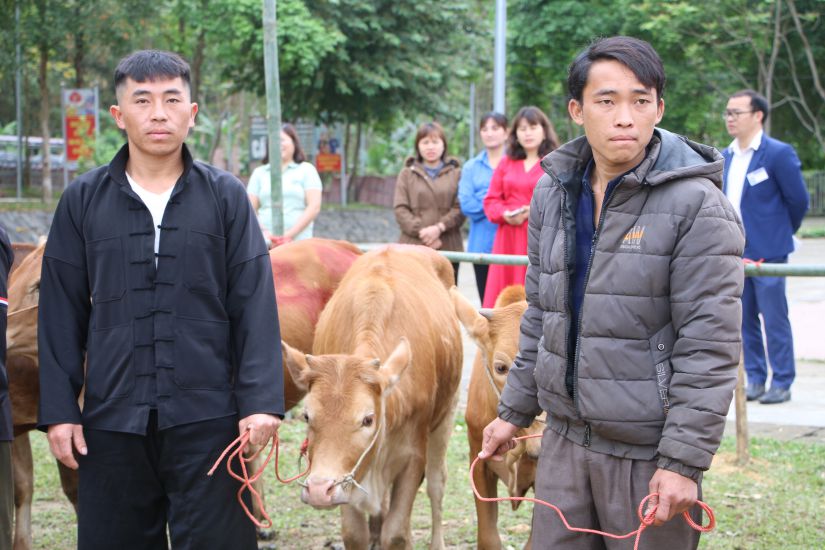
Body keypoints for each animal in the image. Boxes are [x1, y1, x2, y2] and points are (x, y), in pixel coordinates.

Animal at [284, 248, 464, 550]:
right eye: (307, 416)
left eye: (368, 419)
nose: (320, 490)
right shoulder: (350, 478)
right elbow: (355, 533)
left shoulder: (413, 457)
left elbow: (397, 532)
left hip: (446, 416)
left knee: (436, 485)